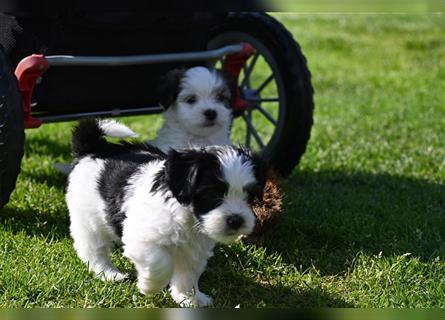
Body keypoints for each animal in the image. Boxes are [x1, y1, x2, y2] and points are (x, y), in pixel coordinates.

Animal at [66, 119, 266, 308]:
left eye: (249, 196)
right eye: (212, 194)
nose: (236, 220)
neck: (187, 215)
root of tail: (93, 149)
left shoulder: (194, 250)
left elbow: (188, 274)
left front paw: (188, 298)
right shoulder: (141, 239)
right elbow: (160, 263)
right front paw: (149, 286)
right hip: (87, 218)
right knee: (93, 248)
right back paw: (108, 273)